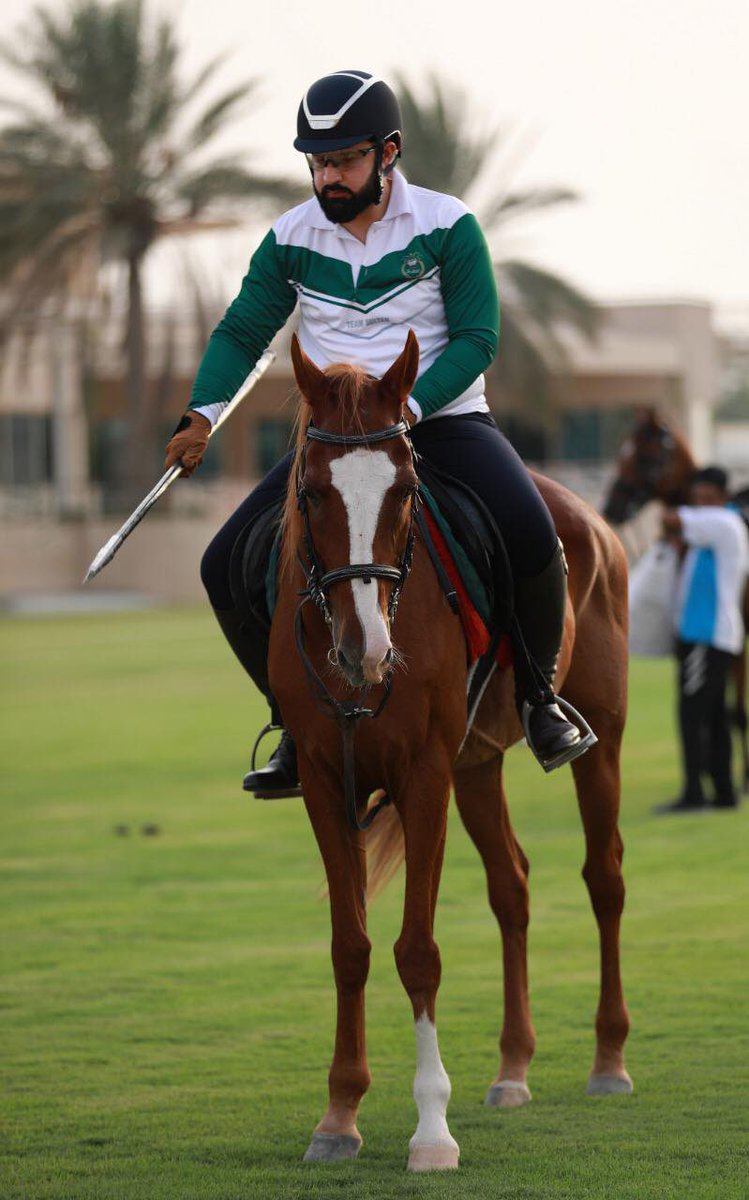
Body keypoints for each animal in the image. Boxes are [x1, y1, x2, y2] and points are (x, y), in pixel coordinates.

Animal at [267, 331, 632, 1171]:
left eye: (404, 490)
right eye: (311, 493)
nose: (364, 651)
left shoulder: (423, 774)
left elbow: (418, 951)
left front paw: (431, 1129)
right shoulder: (325, 779)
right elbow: (350, 946)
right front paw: (338, 1116)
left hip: (597, 737)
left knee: (603, 877)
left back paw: (607, 1060)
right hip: (477, 765)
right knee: (512, 887)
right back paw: (512, 1069)